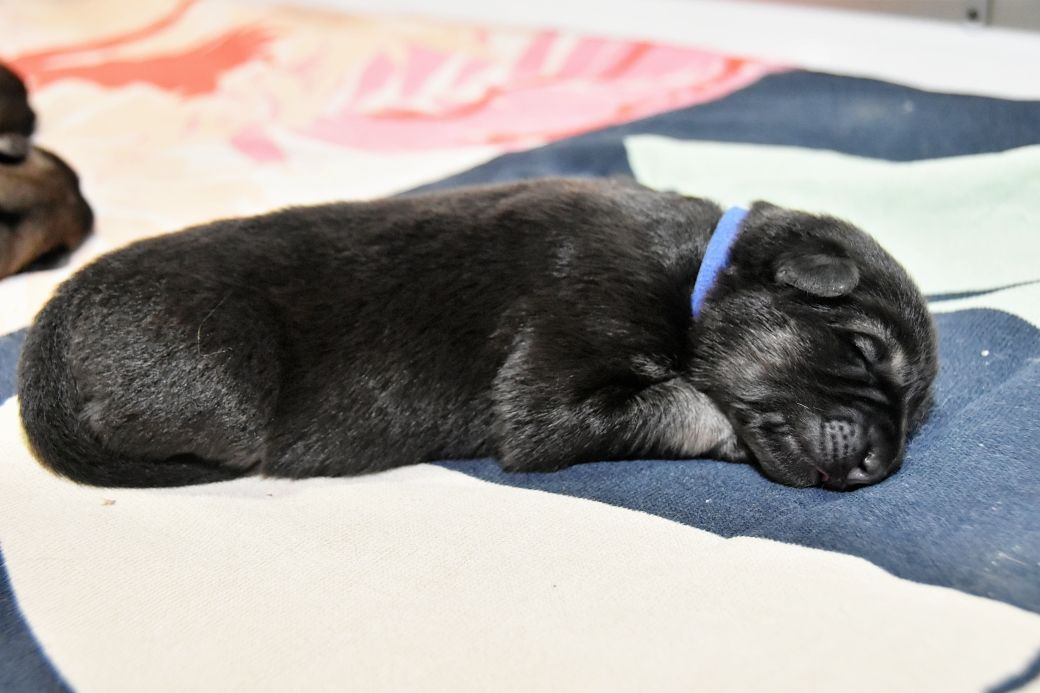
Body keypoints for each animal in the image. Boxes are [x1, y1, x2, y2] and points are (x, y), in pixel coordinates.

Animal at [17, 177, 938, 490]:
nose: (879, 463)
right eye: (861, 349)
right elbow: (686, 402)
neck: (693, 279)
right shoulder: (555, 372)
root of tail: (43, 340)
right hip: (221, 384)